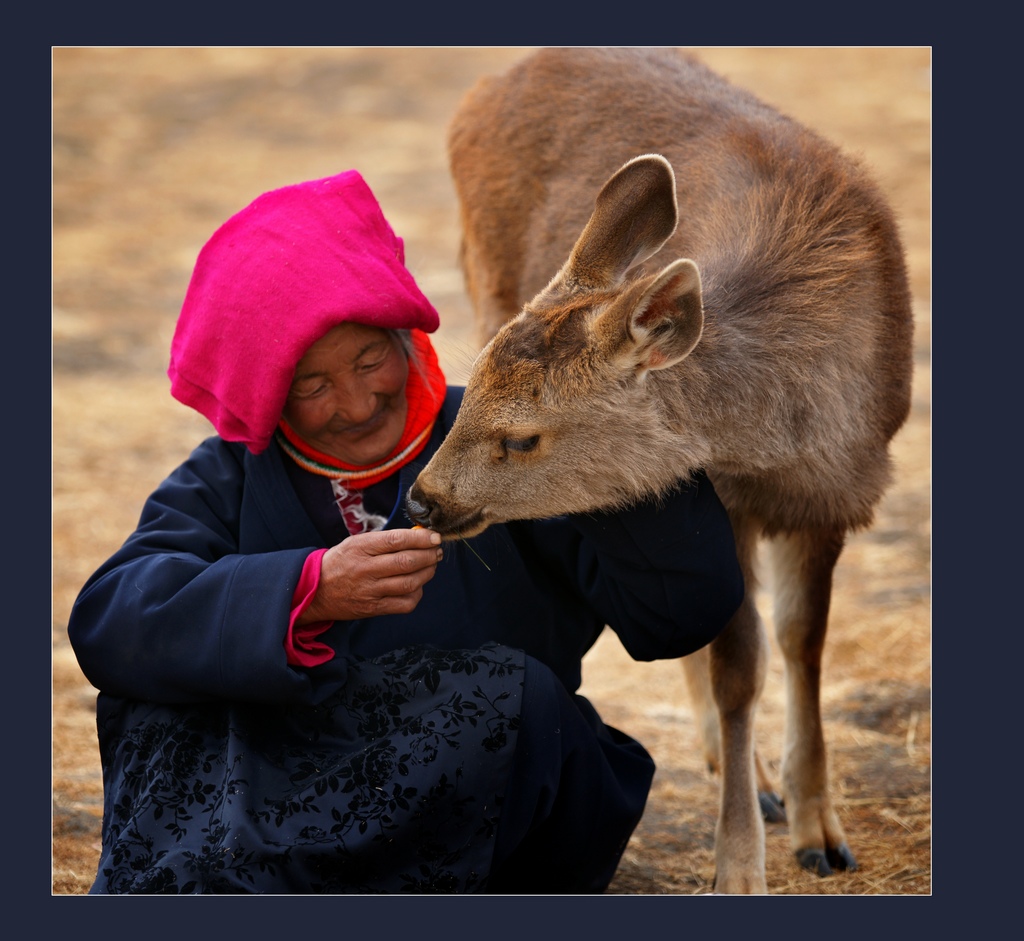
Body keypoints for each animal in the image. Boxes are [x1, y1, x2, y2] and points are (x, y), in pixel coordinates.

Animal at [405, 46, 913, 896]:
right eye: (468, 389)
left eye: (523, 438)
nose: (422, 498)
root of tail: (498, 77)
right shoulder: (720, 493)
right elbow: (739, 663)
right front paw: (740, 864)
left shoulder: (836, 489)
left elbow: (803, 640)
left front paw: (821, 829)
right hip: (484, 277)